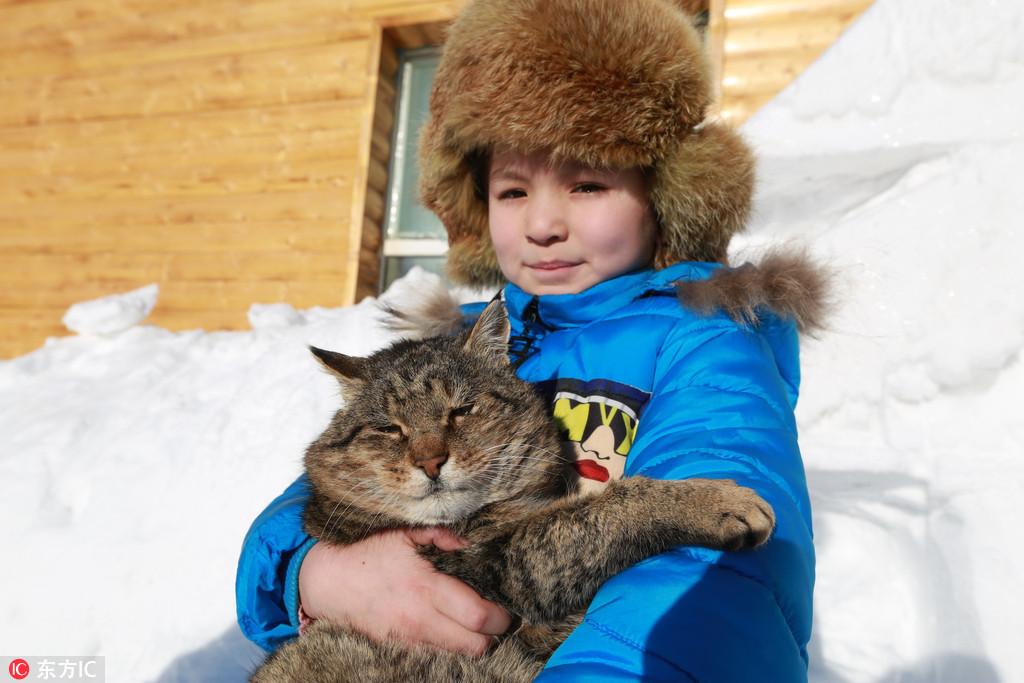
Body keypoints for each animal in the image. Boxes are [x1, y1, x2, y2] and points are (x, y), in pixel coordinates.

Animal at [251, 301, 770, 683]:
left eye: (461, 410)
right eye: (388, 428)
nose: (430, 460)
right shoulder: (504, 561)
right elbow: (608, 508)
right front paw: (716, 501)